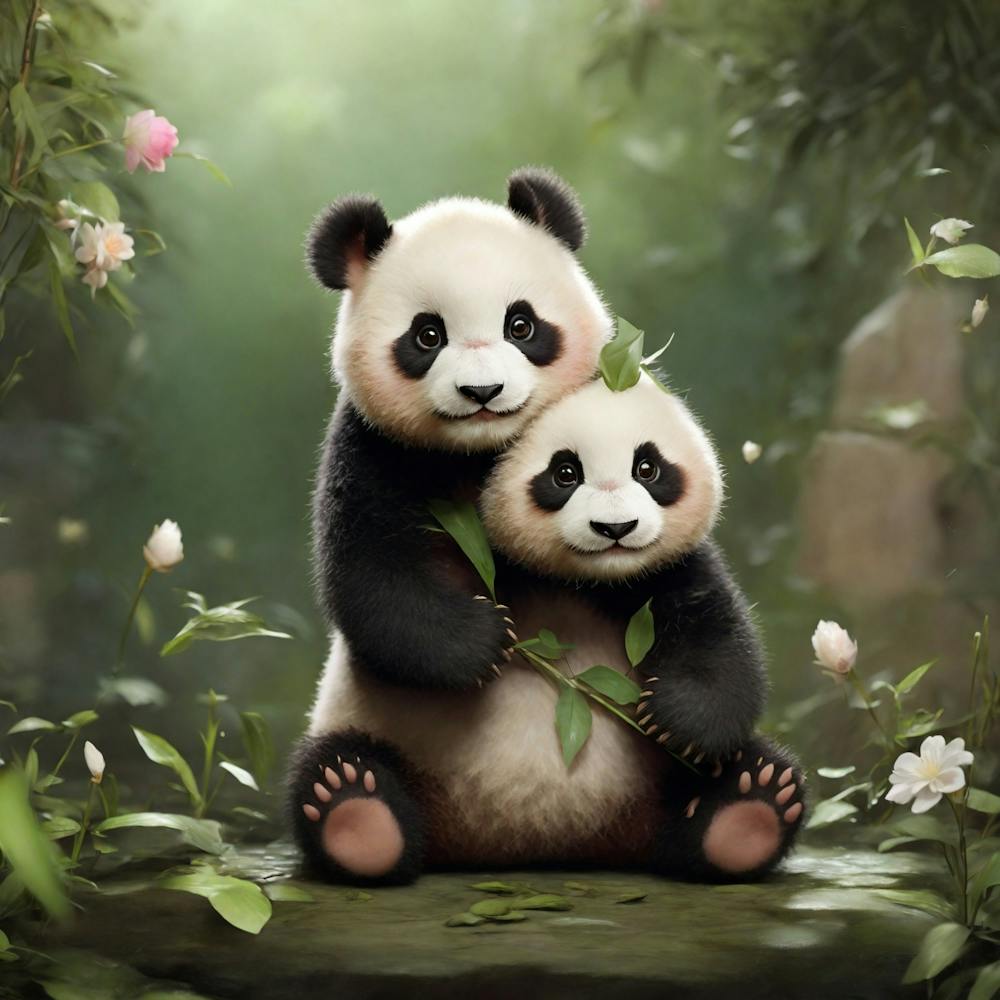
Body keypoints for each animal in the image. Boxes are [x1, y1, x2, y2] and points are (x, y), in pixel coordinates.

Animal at [290, 169, 613, 878]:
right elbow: (369, 578)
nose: (482, 393)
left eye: (521, 324)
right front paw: (484, 641)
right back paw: (357, 813)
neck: (476, 455)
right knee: (332, 771)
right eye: (427, 335)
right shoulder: (370, 448)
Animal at [295, 371, 805, 884]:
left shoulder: (666, 573)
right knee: (333, 769)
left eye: (648, 469)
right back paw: (357, 814)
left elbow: (720, 639)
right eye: (565, 473)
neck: (579, 578)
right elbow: (376, 579)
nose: (616, 528)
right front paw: (481, 642)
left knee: (741, 778)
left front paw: (677, 718)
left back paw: (747, 810)